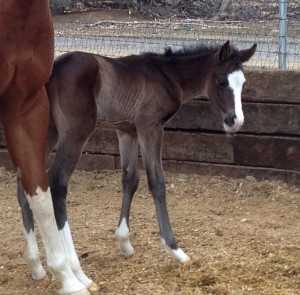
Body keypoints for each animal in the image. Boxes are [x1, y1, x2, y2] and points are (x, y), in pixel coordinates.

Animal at [18, 40, 255, 268]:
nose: (235, 121)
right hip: (75, 131)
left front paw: (124, 241)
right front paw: (174, 249)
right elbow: (156, 182)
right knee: (58, 182)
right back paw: (74, 266)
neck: (168, 76)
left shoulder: (127, 131)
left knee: (25, 181)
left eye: (243, 83)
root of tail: (54, 69)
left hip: (47, 130)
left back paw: (36, 264)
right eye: (221, 81)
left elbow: (130, 179)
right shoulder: (149, 126)